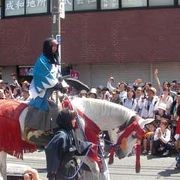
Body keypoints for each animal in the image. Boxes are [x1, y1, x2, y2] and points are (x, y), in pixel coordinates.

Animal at [0, 96, 153, 179]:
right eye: (133, 135)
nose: (122, 154)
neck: (86, 118)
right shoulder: (81, 152)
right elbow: (96, 169)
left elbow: (101, 169)